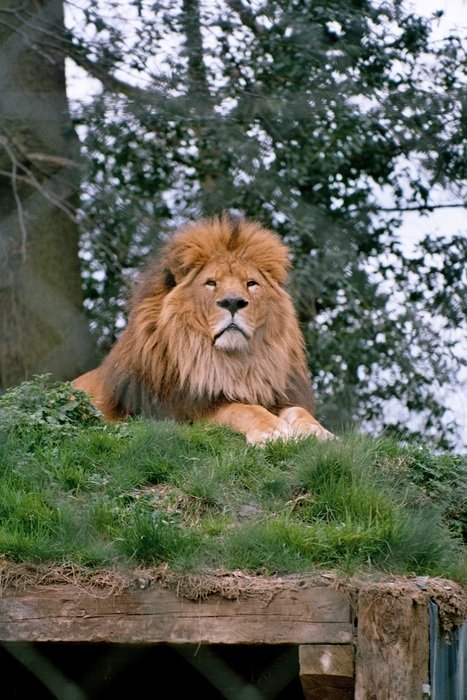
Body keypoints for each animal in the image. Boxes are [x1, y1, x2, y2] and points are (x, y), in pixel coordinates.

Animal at [72, 216, 333, 445]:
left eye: (251, 283)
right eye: (211, 283)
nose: (233, 302)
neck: (235, 365)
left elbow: (297, 409)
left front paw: (318, 431)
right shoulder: (184, 411)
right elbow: (238, 408)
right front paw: (272, 430)